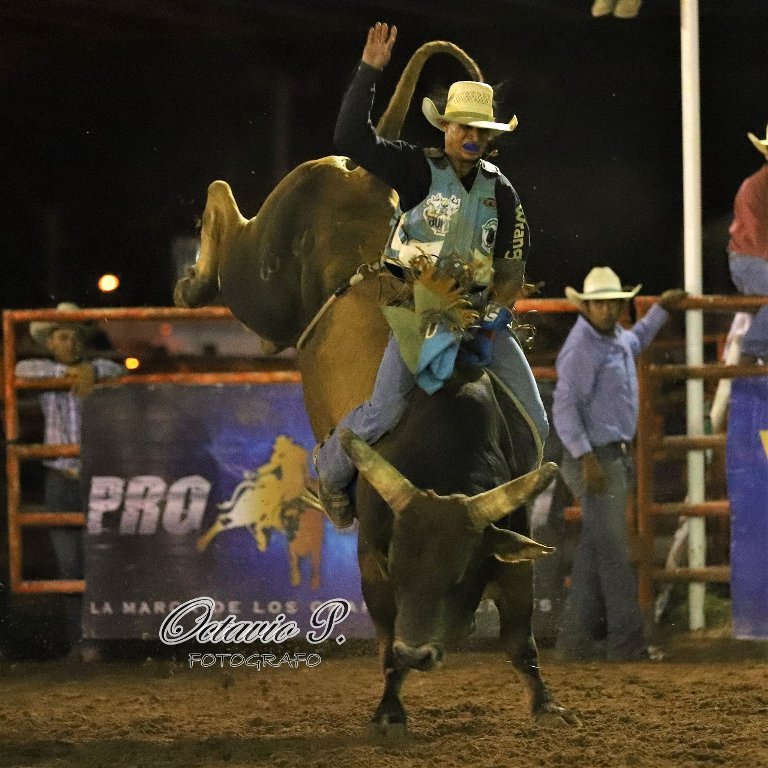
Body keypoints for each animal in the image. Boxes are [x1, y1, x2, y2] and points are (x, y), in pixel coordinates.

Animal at [176, 40, 576, 732]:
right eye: (402, 564)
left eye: (458, 573)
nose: (422, 652)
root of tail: (368, 170)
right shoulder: (371, 551)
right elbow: (384, 632)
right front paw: (391, 704)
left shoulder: (512, 535)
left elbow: (520, 634)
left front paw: (545, 702)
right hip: (265, 272)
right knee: (226, 218)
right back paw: (192, 278)